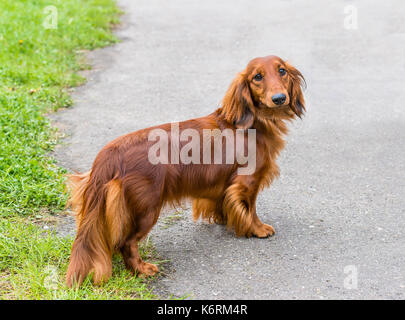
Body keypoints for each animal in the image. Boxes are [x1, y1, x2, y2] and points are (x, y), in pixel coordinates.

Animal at [65, 55, 304, 288]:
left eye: (281, 71)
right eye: (257, 77)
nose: (279, 98)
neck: (251, 125)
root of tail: (108, 155)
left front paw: (225, 219)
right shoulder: (247, 182)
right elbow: (251, 208)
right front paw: (258, 228)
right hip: (146, 208)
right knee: (126, 242)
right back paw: (142, 269)